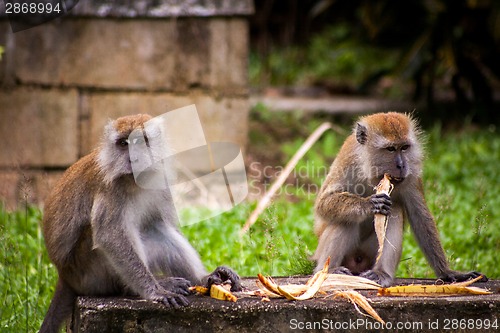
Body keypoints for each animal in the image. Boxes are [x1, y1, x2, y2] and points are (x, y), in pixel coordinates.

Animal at [40, 114, 241, 332]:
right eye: (123, 144)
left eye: (139, 141)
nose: (133, 159)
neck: (134, 181)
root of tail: (64, 276)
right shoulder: (110, 191)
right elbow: (110, 236)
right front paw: (156, 291)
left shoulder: (160, 182)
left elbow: (165, 224)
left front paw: (205, 277)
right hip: (87, 274)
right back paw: (137, 288)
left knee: (156, 228)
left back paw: (205, 279)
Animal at [314, 111, 486, 286]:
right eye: (390, 149)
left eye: (404, 148)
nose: (401, 165)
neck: (373, 173)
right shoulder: (348, 162)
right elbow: (324, 203)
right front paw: (368, 204)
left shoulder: (412, 174)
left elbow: (420, 218)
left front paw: (448, 272)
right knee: (345, 218)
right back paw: (329, 271)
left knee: (394, 208)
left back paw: (381, 273)